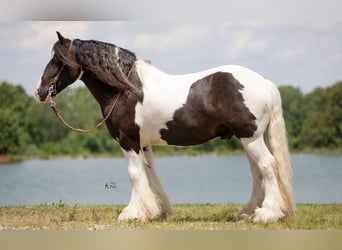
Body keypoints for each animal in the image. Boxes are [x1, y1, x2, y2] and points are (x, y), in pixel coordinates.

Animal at [36, 31, 296, 223]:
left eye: (58, 60)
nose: (40, 91)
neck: (127, 89)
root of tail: (264, 82)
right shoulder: (142, 144)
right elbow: (149, 175)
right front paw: (157, 211)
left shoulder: (128, 141)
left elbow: (134, 174)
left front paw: (132, 213)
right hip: (248, 139)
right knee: (257, 172)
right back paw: (248, 212)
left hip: (251, 138)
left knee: (268, 166)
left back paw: (267, 214)